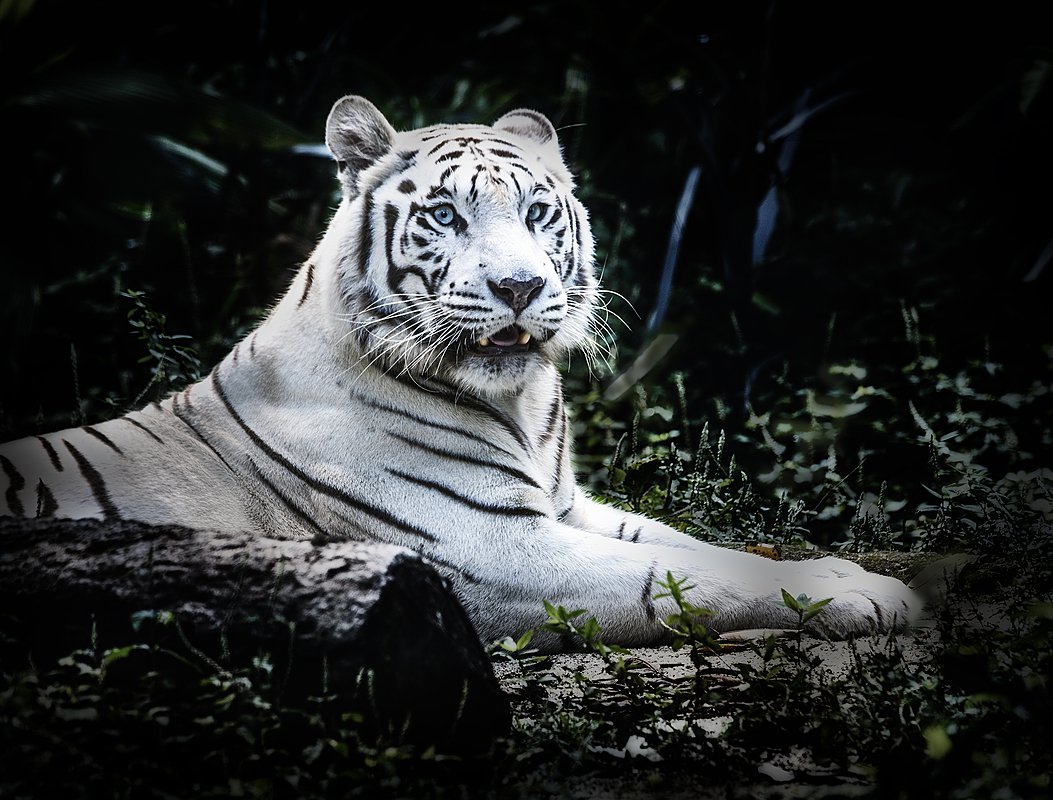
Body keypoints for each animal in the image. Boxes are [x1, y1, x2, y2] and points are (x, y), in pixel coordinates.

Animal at [0, 96, 921, 649]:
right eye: (444, 215)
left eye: (538, 212)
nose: (520, 286)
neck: (519, 402)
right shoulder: (489, 547)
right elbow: (688, 576)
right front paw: (864, 596)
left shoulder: (566, 506)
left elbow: (700, 545)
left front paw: (844, 571)